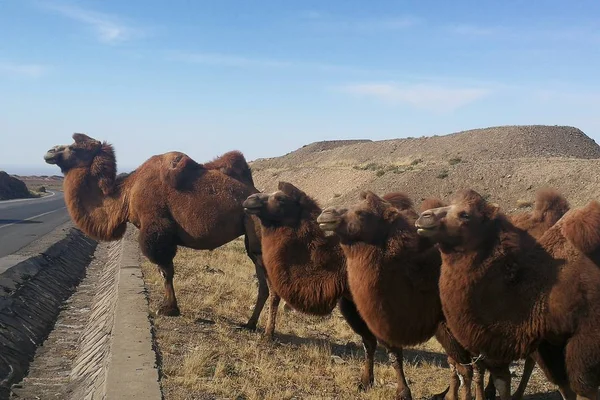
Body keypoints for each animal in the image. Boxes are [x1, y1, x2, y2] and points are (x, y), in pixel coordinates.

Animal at [45, 134, 270, 328]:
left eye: (73, 147)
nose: (49, 151)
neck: (126, 194)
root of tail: (256, 192)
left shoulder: (157, 229)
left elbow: (166, 270)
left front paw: (169, 309)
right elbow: (165, 271)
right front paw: (169, 306)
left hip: (255, 228)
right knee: (263, 281)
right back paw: (250, 324)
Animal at [241, 182, 428, 394]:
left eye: (280, 198)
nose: (250, 199)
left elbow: (391, 348)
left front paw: (403, 392)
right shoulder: (351, 302)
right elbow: (369, 343)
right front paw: (365, 382)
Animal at [318, 190, 488, 400]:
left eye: (362, 213)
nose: (326, 214)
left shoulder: (447, 324)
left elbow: (465, 369)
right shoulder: (383, 318)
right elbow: (393, 355)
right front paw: (396, 390)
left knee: (475, 366)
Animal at [414, 188, 600, 400]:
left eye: (465, 214)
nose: (424, 217)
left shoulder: (587, 337)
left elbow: (582, 388)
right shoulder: (549, 343)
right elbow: (561, 385)